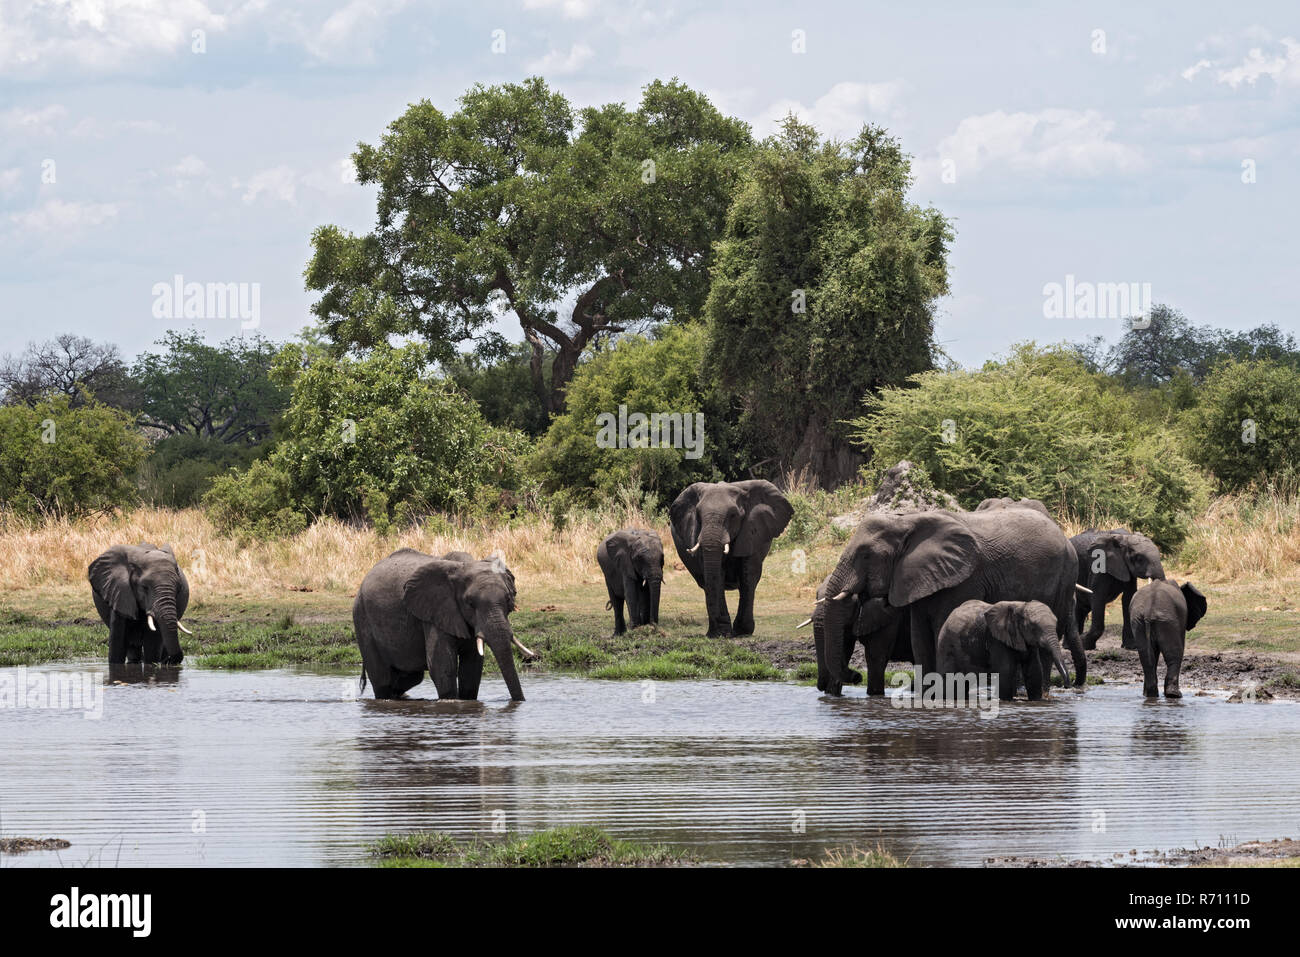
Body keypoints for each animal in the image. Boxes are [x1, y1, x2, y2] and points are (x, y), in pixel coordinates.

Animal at [353, 546, 535, 702]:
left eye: (508, 599)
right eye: (470, 603)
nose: (519, 701)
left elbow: (472, 666)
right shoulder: (434, 613)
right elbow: (441, 664)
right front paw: (451, 701)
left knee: (411, 676)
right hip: (362, 619)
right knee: (382, 678)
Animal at [670, 481, 790, 639]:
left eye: (733, 515)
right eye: (698, 515)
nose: (717, 633)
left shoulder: (751, 533)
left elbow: (748, 575)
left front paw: (742, 632)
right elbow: (717, 575)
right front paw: (723, 632)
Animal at [941, 600, 1071, 696]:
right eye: (1033, 627)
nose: (1067, 686)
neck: (1020, 606)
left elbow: (1034, 670)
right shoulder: (995, 638)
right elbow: (1006, 670)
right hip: (947, 644)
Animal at [1066, 527, 1170, 655]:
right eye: (1139, 558)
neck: (1125, 539)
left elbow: (1128, 598)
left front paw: (1131, 647)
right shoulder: (1100, 564)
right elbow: (1097, 597)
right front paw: (1086, 644)